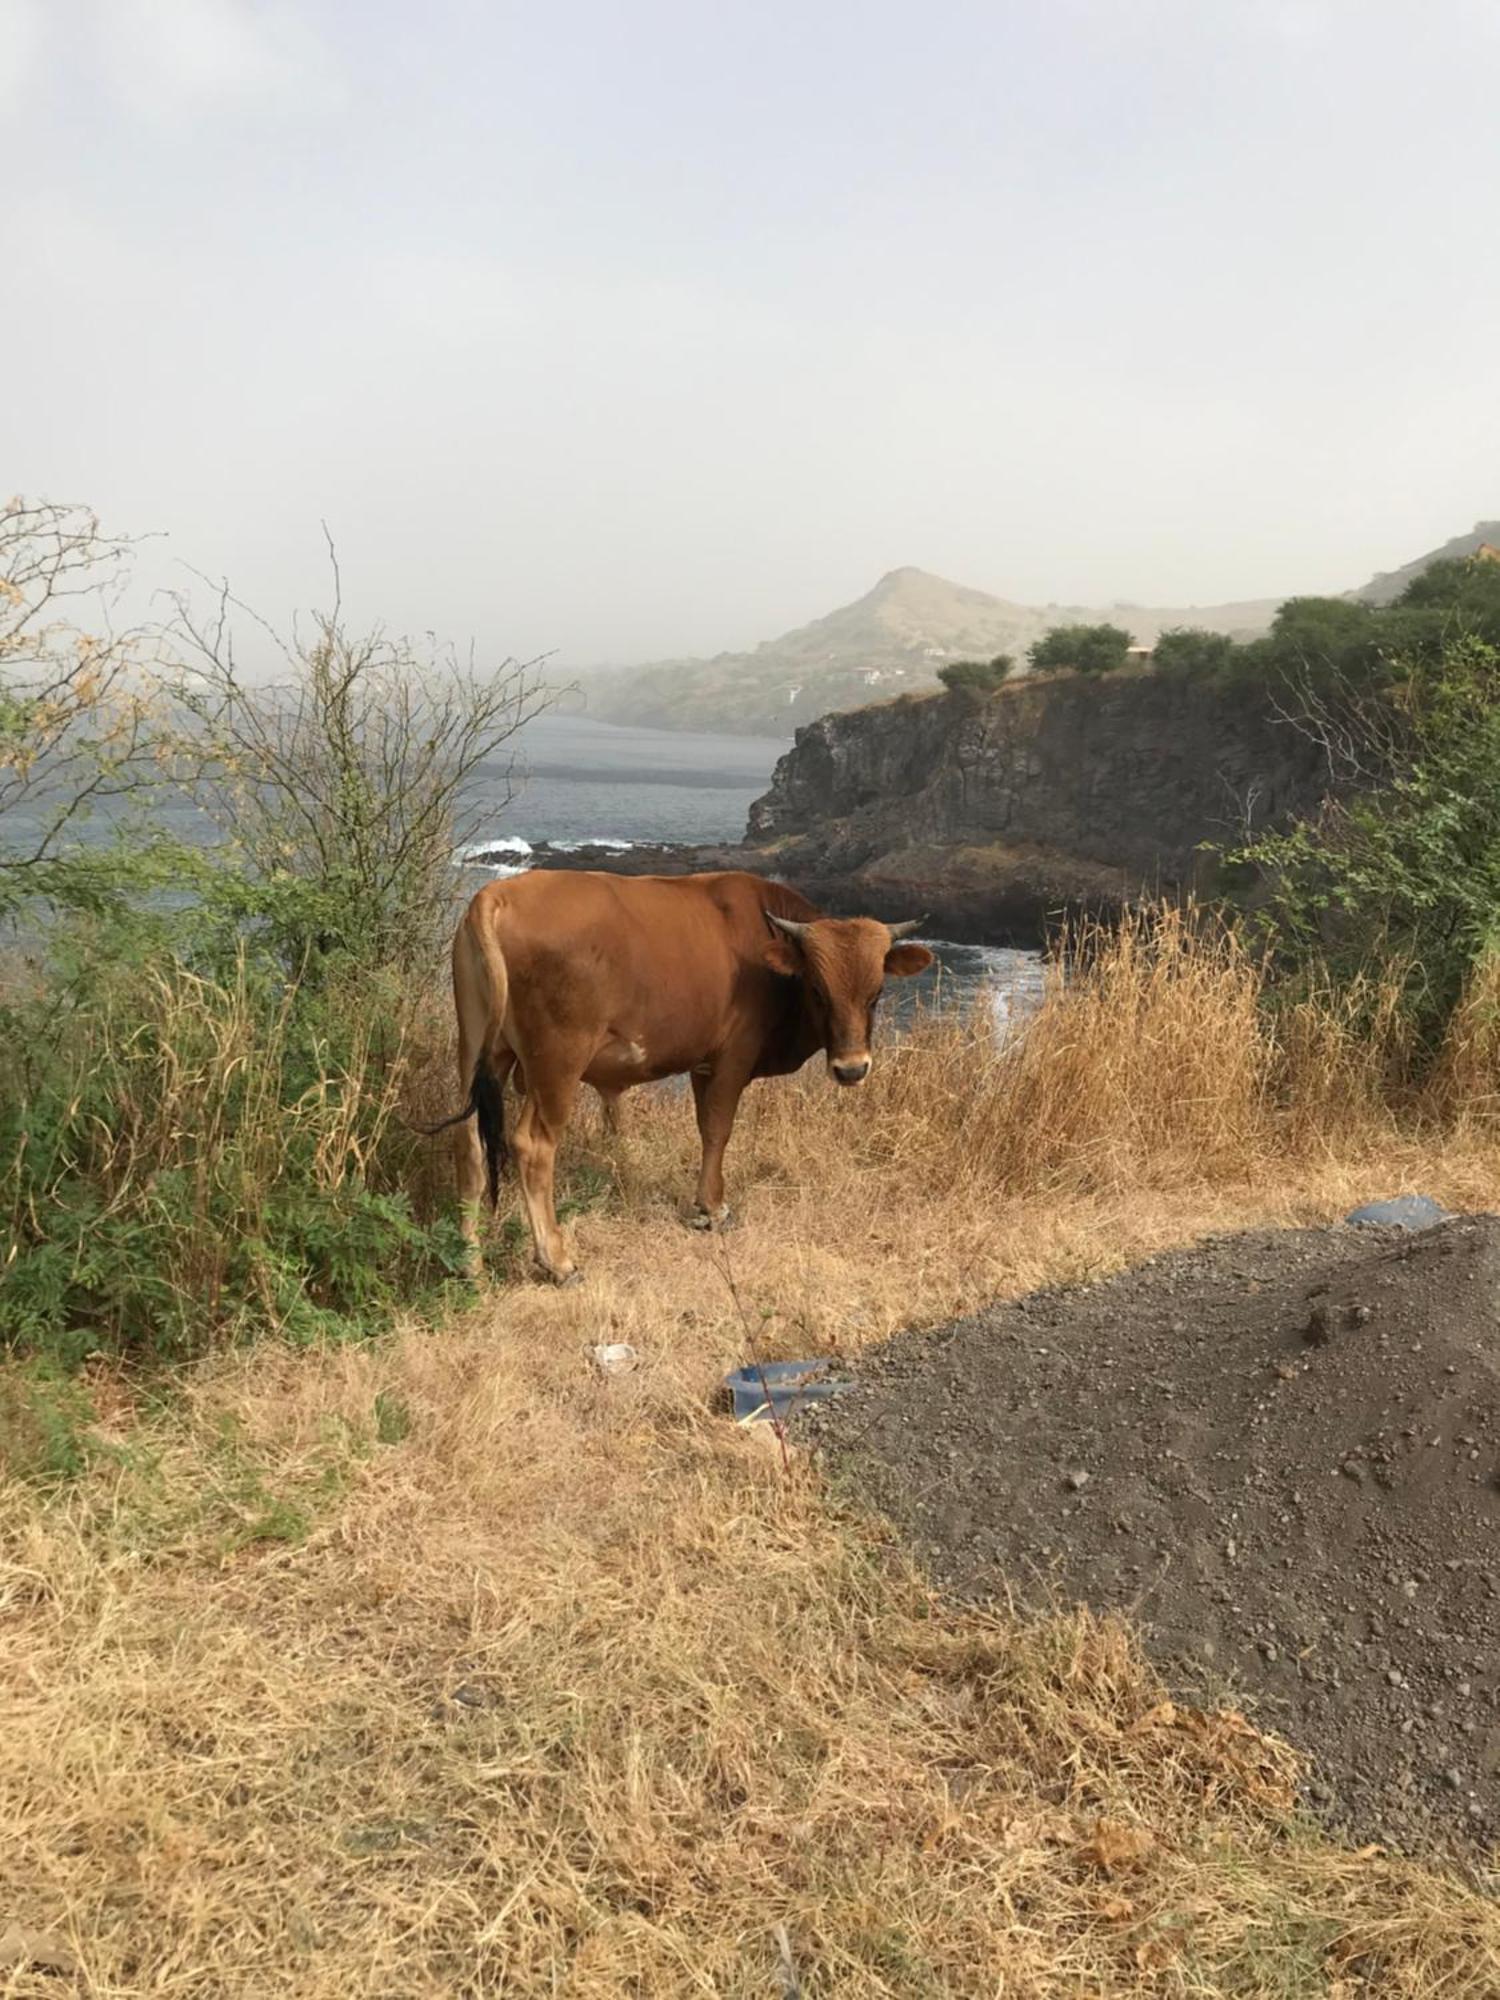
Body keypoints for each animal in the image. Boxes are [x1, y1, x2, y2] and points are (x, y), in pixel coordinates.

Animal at [434, 864, 936, 1280]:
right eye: (817, 990)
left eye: (877, 993)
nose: (852, 1069)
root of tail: (496, 895)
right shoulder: (732, 1057)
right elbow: (718, 1129)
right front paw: (712, 1207)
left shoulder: (701, 1062)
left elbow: (704, 1126)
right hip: (556, 1065)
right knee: (533, 1146)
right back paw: (557, 1259)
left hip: (478, 1051)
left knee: (468, 1141)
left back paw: (470, 1261)